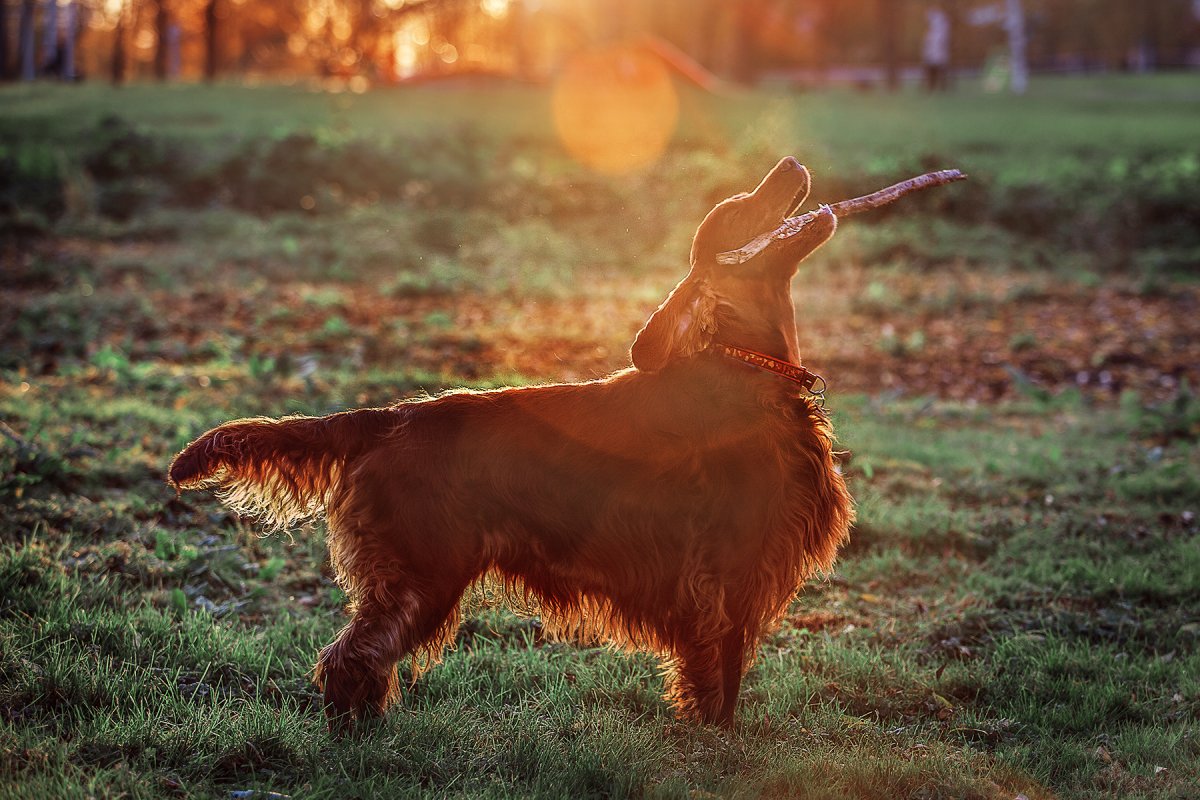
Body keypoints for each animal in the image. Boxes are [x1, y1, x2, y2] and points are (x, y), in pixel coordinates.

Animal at [174, 154, 859, 724]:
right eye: (743, 209)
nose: (790, 163)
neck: (748, 369)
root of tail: (388, 418)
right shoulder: (727, 572)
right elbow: (721, 680)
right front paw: (718, 743)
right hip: (421, 572)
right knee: (352, 657)